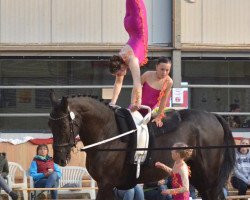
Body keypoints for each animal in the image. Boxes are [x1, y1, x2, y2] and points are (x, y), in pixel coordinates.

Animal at [48, 91, 236, 200]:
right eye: (50, 125)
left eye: (63, 126)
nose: (60, 159)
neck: (109, 132)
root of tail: (213, 116)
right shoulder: (109, 185)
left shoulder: (106, 183)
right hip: (195, 172)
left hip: (208, 175)